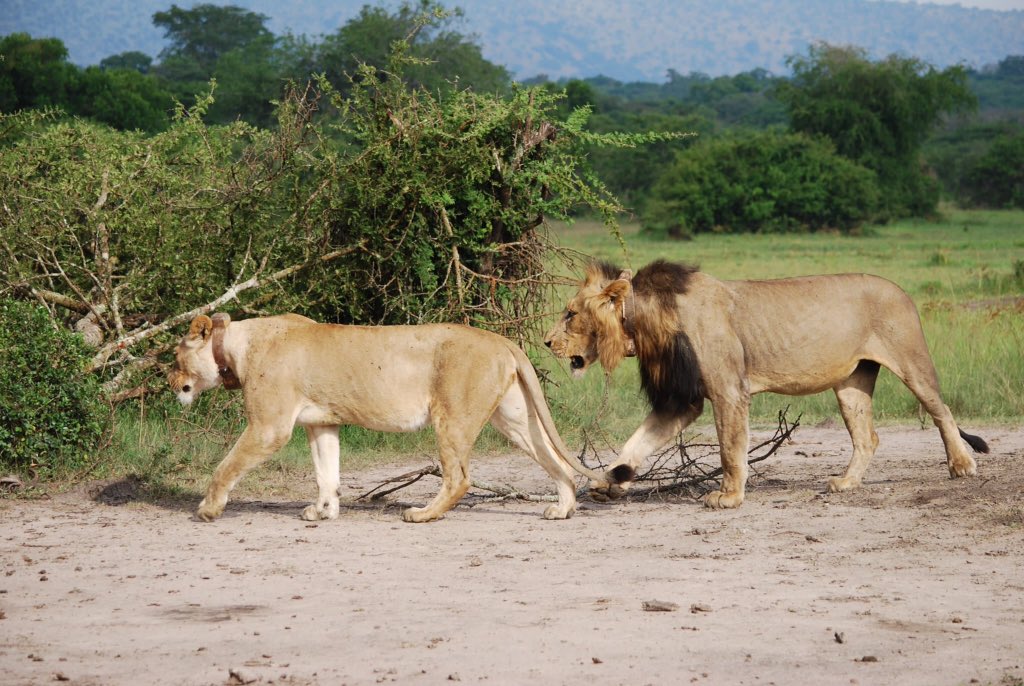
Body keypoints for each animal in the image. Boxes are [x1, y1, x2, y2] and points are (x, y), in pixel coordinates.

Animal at [168, 312, 611, 523]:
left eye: (175, 356)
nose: (168, 378)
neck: (235, 347)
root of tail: (501, 340)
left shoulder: (268, 428)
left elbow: (226, 466)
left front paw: (208, 509)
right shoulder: (322, 422)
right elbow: (326, 472)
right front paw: (323, 512)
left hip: (452, 416)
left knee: (459, 478)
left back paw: (422, 514)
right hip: (516, 420)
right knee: (557, 462)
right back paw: (562, 509)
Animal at [544, 259, 989, 508]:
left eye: (569, 314)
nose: (546, 342)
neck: (644, 324)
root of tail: (902, 290)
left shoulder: (728, 390)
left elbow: (729, 449)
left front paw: (728, 497)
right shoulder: (681, 400)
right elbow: (637, 442)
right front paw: (610, 482)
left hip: (911, 361)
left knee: (942, 411)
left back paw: (962, 465)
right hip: (851, 382)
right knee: (868, 437)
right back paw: (846, 483)